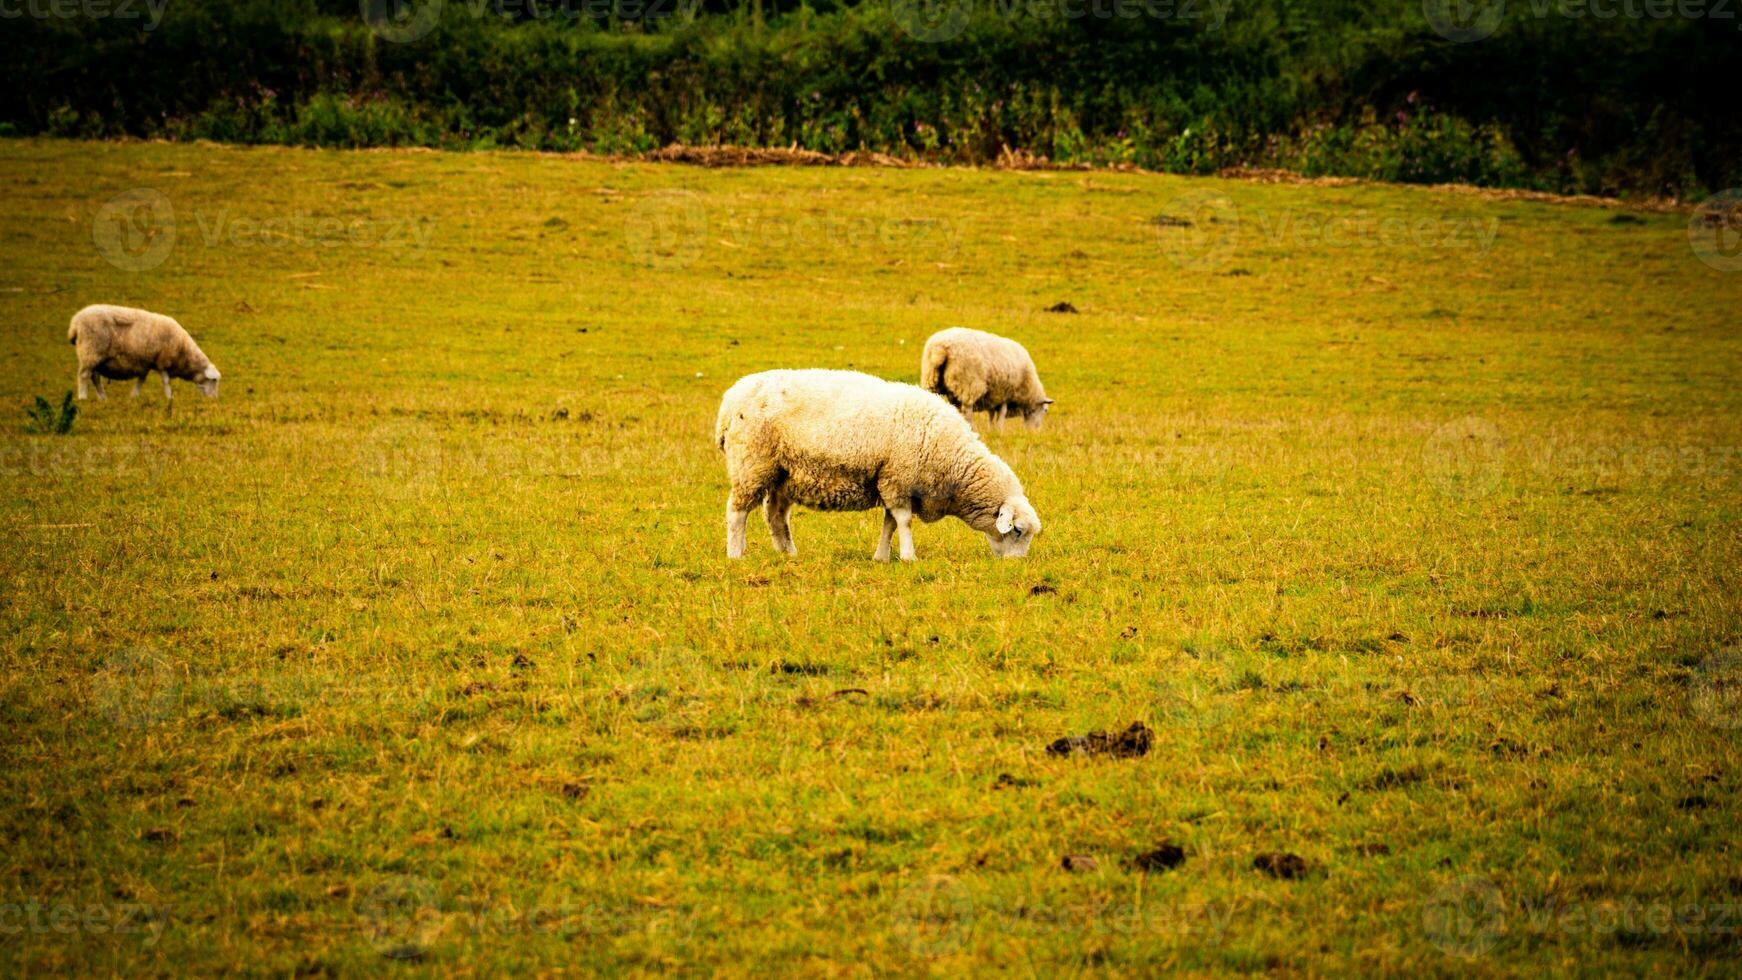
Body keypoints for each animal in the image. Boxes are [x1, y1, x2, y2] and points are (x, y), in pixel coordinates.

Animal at [67, 302, 219, 402]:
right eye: (214, 381)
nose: (214, 400)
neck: (184, 351)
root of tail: (75, 323)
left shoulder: (146, 362)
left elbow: (141, 379)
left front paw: (134, 396)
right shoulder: (162, 362)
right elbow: (166, 382)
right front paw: (170, 397)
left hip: (96, 357)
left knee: (95, 377)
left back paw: (103, 398)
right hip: (90, 351)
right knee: (83, 375)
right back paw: (83, 397)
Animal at [714, 372, 1038, 563]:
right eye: (1018, 531)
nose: (1017, 565)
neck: (953, 464)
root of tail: (729, 401)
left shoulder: (893, 483)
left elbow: (890, 524)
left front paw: (881, 557)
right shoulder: (897, 479)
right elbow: (904, 522)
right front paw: (908, 557)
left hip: (784, 472)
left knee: (776, 516)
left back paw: (789, 554)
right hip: (752, 463)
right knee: (737, 513)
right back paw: (735, 554)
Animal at [919, 327, 1052, 431]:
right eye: (1045, 410)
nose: (1034, 433)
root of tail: (940, 348)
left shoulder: (993, 397)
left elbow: (991, 416)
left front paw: (991, 430)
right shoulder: (1004, 394)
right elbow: (1001, 415)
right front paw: (1000, 431)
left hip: (931, 379)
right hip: (969, 383)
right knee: (967, 411)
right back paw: (972, 428)